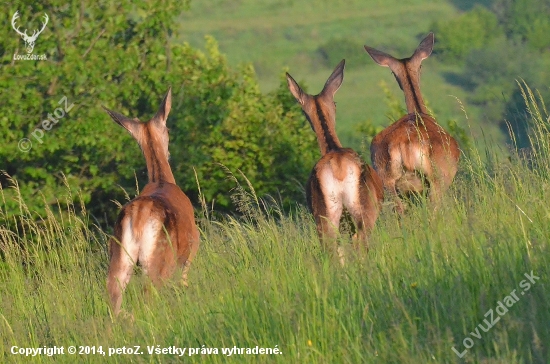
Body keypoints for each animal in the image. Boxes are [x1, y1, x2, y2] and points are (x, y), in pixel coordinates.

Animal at [103, 88, 201, 316]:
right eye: (168, 130)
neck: (162, 180)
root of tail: (140, 213)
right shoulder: (193, 246)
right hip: (160, 261)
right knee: (149, 296)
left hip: (119, 258)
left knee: (113, 298)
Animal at [366, 33, 462, 213]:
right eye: (421, 66)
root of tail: (406, 145)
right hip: (439, 177)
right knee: (433, 206)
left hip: (386, 180)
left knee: (399, 208)